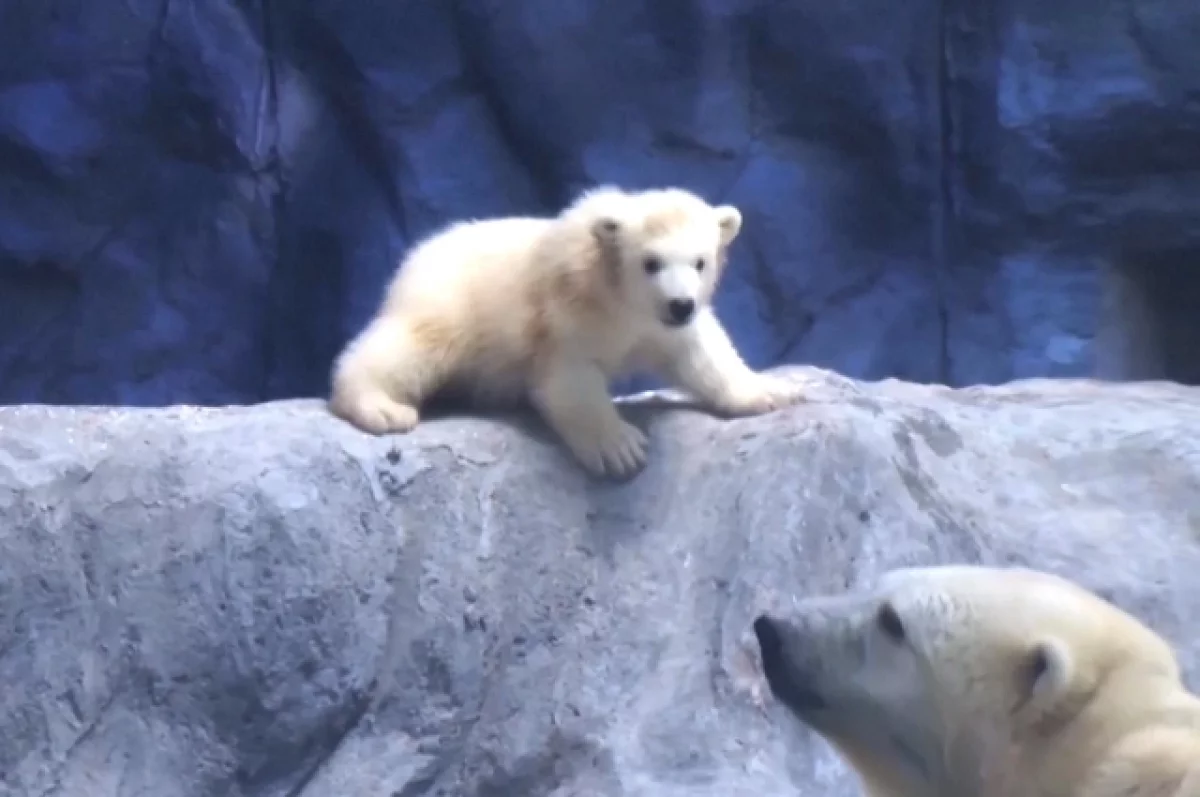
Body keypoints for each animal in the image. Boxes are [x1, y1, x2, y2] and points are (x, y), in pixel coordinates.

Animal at [328, 185, 806, 479]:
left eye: (700, 262)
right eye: (651, 262)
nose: (681, 304)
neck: (617, 296)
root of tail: (414, 257)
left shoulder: (661, 326)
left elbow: (702, 352)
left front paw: (773, 392)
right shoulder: (567, 311)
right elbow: (568, 377)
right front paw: (619, 448)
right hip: (448, 300)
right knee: (411, 347)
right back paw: (382, 408)